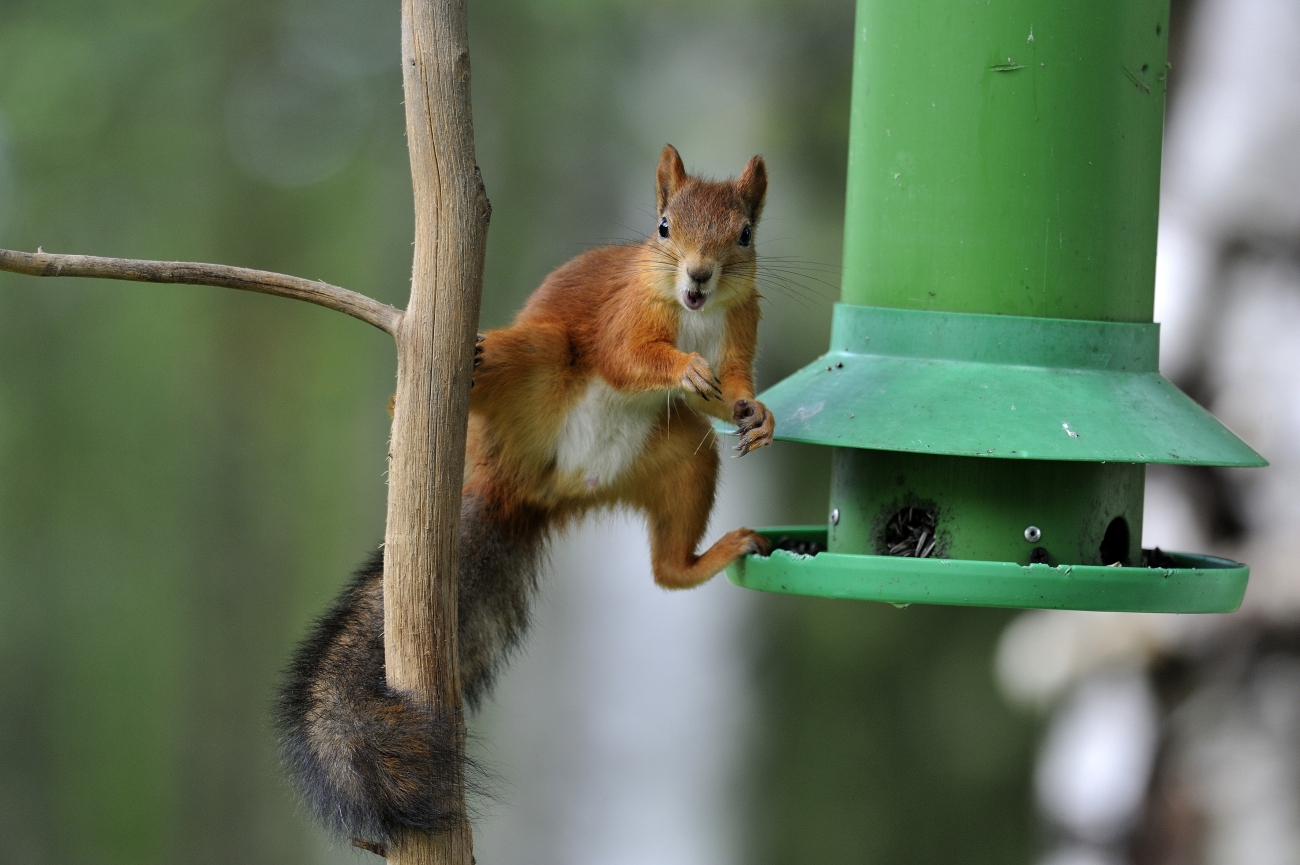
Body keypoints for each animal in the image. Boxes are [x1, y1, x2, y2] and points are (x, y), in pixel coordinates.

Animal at [274, 145, 769, 848]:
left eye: (745, 235)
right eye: (665, 227)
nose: (699, 277)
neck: (696, 316)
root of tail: (532, 488)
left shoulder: (741, 329)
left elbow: (734, 387)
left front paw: (759, 415)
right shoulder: (623, 318)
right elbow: (625, 357)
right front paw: (680, 368)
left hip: (680, 460)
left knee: (668, 571)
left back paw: (705, 556)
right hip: (534, 363)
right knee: (525, 354)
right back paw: (413, 400)